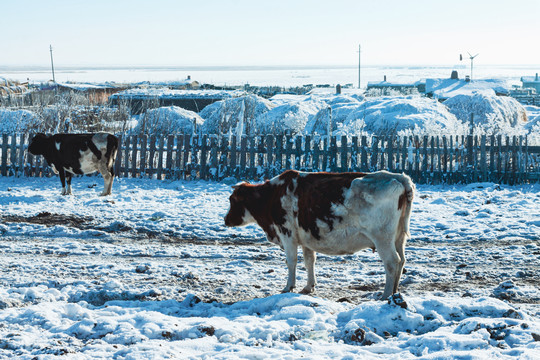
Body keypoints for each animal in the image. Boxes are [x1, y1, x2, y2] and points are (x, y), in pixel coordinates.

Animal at [224, 170, 414, 300]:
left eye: (232, 200)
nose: (225, 219)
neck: (273, 195)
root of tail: (399, 177)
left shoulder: (287, 234)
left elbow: (291, 261)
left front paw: (288, 287)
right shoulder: (306, 240)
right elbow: (310, 261)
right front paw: (309, 287)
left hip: (382, 239)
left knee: (392, 262)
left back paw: (385, 294)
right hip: (398, 238)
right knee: (401, 261)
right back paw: (394, 292)